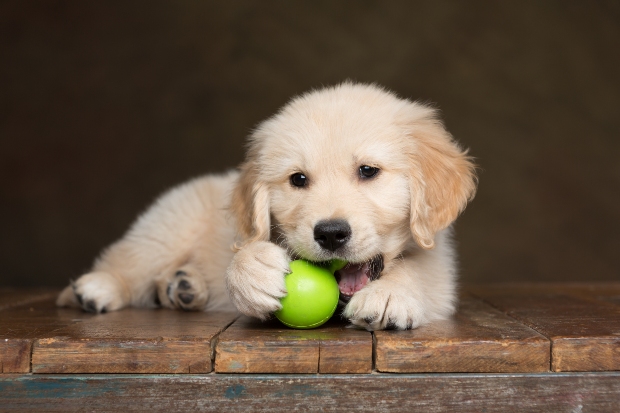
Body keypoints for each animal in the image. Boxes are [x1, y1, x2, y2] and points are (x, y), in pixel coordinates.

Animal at [57, 82, 474, 330]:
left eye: (368, 171)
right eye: (298, 180)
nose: (330, 234)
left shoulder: (441, 269)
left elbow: (419, 270)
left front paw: (390, 294)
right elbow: (245, 251)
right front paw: (251, 271)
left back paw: (183, 287)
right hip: (169, 224)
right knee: (129, 260)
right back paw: (98, 287)